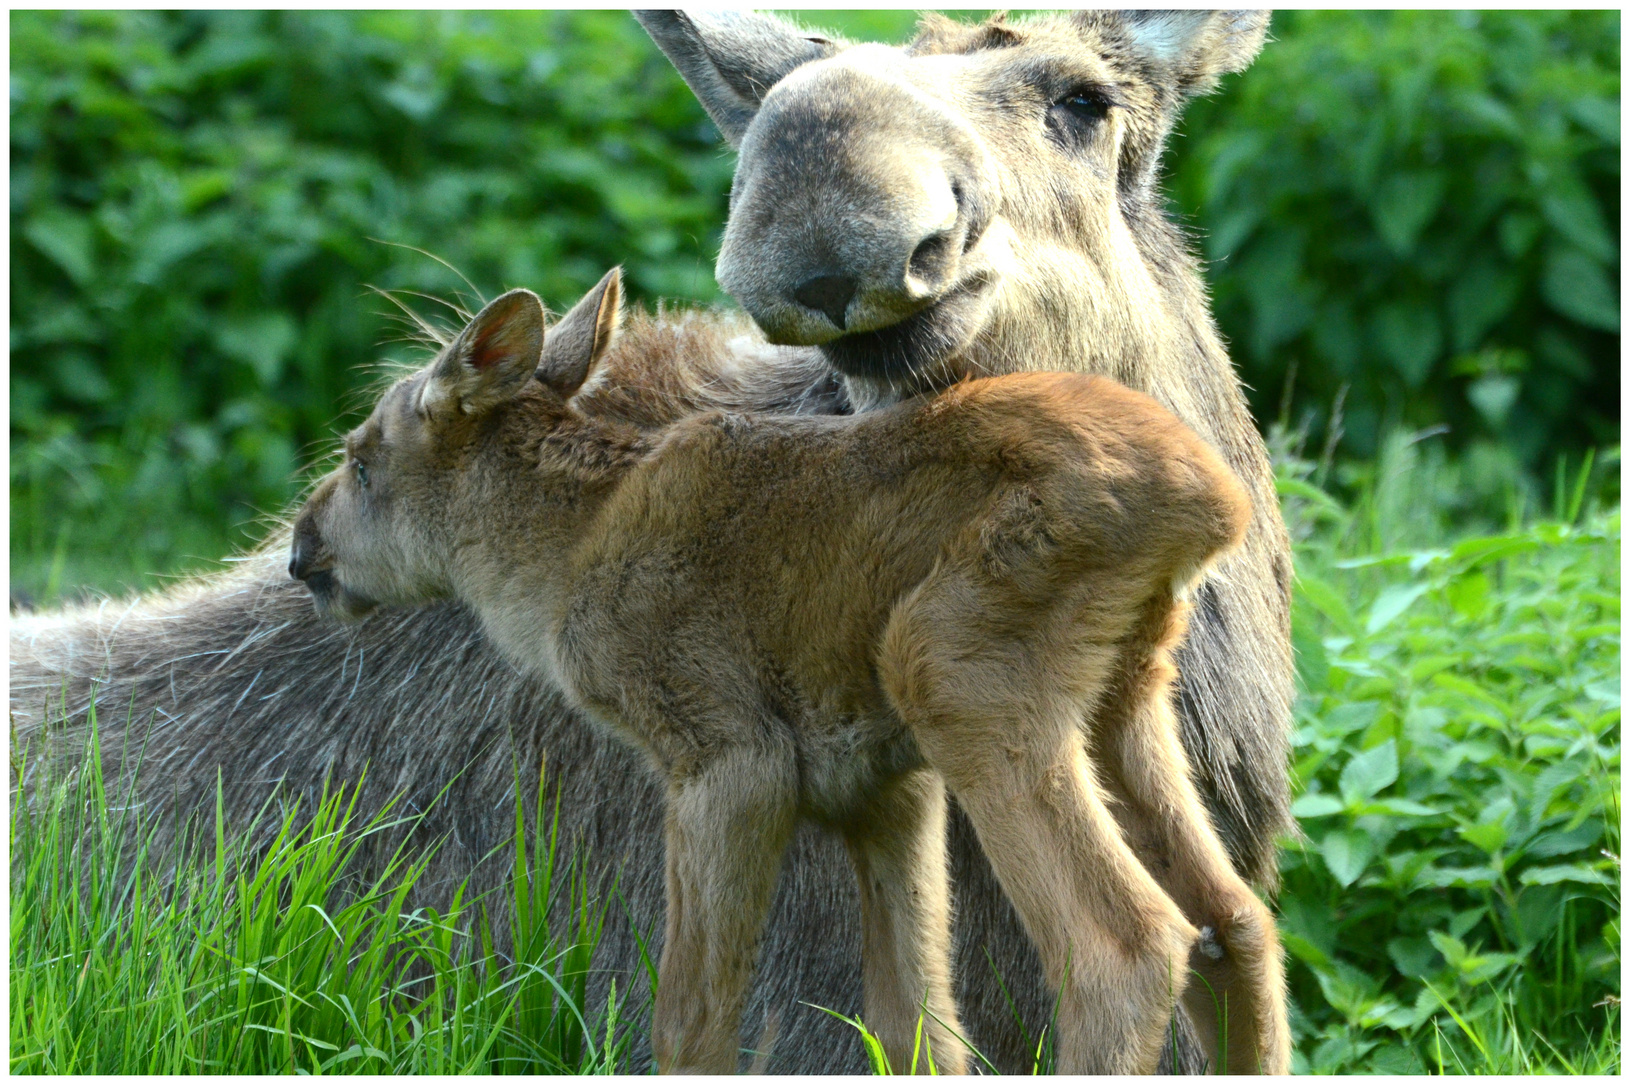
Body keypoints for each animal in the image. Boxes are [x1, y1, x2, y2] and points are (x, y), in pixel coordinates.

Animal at [289, 276, 1282, 1073]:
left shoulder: (728, 758)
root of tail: (1211, 500)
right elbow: (916, 1024)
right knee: (1235, 923)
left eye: (359, 460)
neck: (550, 566)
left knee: (1126, 947)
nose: (304, 551)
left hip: (954, 664)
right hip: (1126, 695)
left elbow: (692, 1021)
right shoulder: (886, 790)